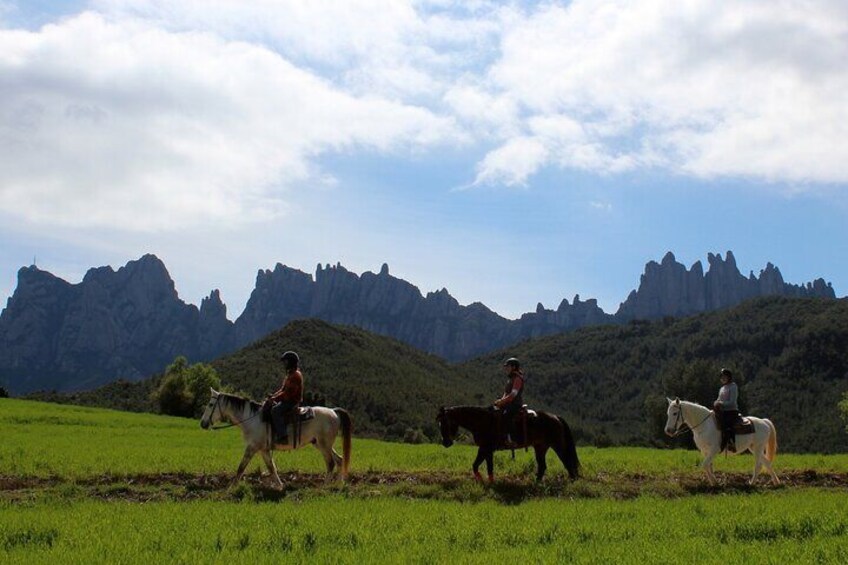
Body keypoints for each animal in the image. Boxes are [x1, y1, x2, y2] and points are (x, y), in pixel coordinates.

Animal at [201, 388, 352, 490]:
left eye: (210, 404)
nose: (203, 423)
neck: (252, 419)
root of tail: (333, 411)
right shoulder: (263, 450)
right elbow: (271, 468)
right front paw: (280, 486)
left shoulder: (252, 447)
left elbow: (241, 467)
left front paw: (231, 487)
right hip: (321, 444)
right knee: (340, 460)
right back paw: (339, 483)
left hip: (324, 445)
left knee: (331, 463)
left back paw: (324, 486)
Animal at [434, 406, 580, 480]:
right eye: (439, 423)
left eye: (445, 423)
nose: (446, 442)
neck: (482, 421)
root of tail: (556, 417)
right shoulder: (487, 450)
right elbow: (487, 467)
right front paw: (489, 482)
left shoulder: (485, 448)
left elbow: (476, 466)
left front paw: (481, 480)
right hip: (540, 447)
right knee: (542, 466)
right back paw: (536, 483)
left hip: (558, 445)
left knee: (568, 463)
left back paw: (573, 482)